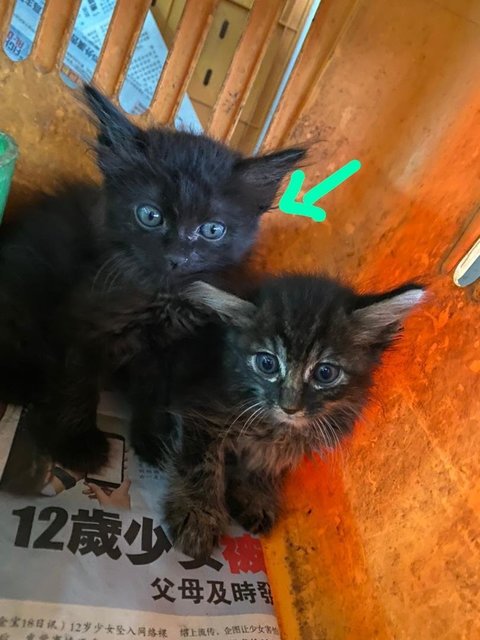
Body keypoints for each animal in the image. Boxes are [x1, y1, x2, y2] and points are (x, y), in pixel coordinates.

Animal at [0, 85, 304, 470]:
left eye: (212, 229)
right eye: (149, 215)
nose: (177, 256)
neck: (162, 299)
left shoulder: (171, 350)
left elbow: (156, 393)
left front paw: (154, 438)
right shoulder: (84, 325)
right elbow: (77, 385)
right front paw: (77, 445)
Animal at [161, 278, 424, 556]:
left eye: (325, 373)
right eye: (267, 364)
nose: (289, 407)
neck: (277, 427)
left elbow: (265, 464)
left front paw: (256, 495)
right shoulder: (200, 411)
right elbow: (199, 465)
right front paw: (198, 515)